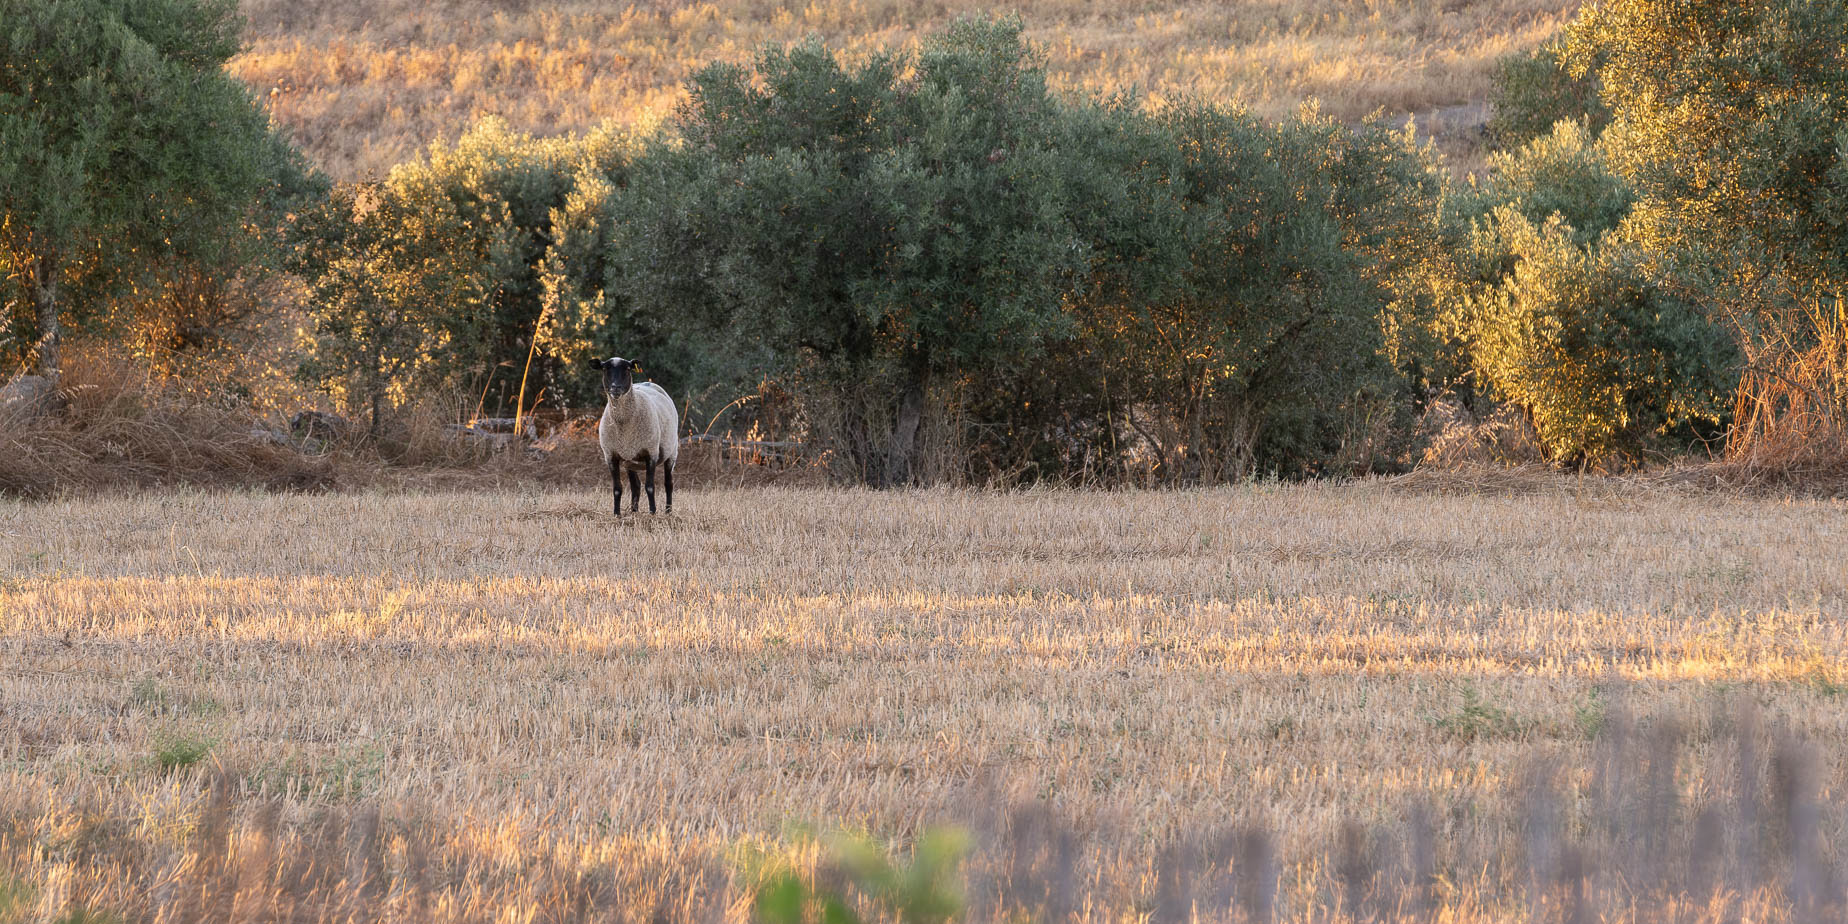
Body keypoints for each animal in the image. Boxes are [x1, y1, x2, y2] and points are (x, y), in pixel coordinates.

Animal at [591, 354, 680, 517]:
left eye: (627, 369)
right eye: (605, 369)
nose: (615, 388)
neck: (624, 426)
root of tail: (648, 383)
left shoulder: (651, 453)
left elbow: (650, 486)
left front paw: (652, 512)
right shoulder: (611, 456)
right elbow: (617, 488)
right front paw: (617, 514)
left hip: (671, 453)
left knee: (668, 484)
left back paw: (668, 512)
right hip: (630, 461)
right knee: (636, 486)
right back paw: (634, 511)